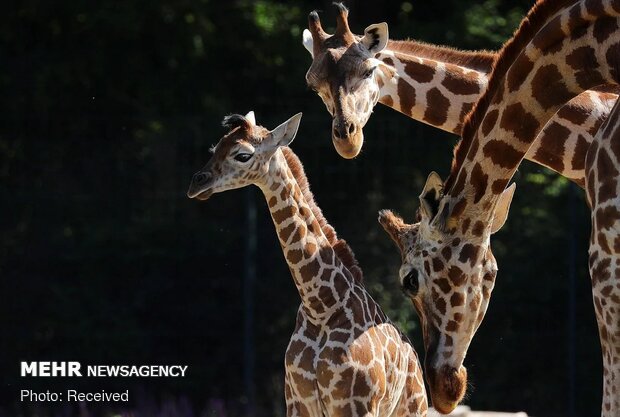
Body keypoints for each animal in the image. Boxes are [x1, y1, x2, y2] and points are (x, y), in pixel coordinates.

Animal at [186, 112, 428, 416]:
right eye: (215, 147)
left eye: (242, 155)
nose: (196, 183)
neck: (320, 307)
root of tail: (416, 364)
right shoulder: (297, 401)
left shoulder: (354, 405)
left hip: (412, 408)